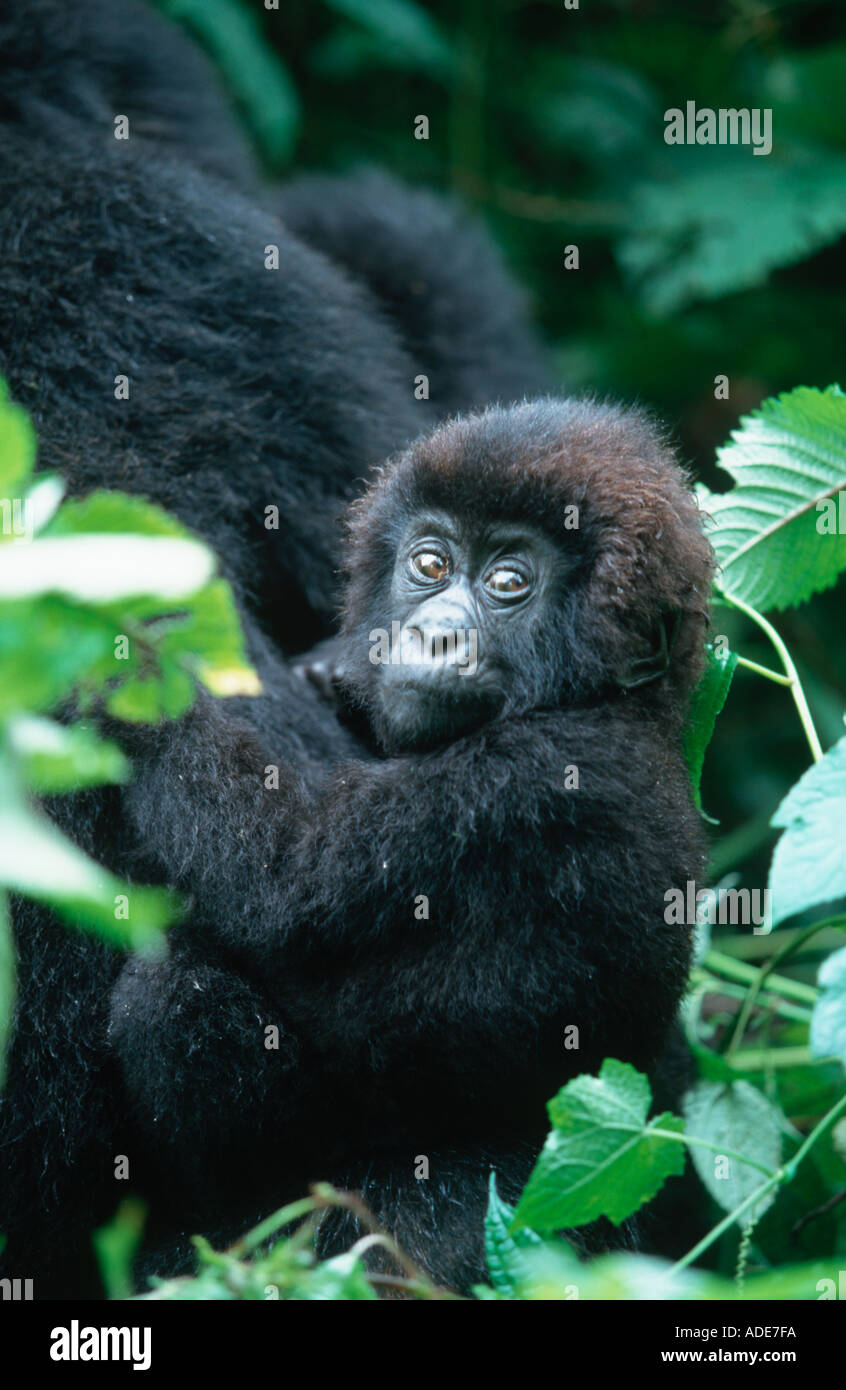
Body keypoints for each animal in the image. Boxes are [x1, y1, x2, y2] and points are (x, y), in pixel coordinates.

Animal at [106, 397, 711, 1284]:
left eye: (507, 584)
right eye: (430, 563)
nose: (432, 635)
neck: (616, 701)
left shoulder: (529, 775)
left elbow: (281, 881)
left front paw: (117, 665)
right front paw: (333, 671)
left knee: (176, 988)